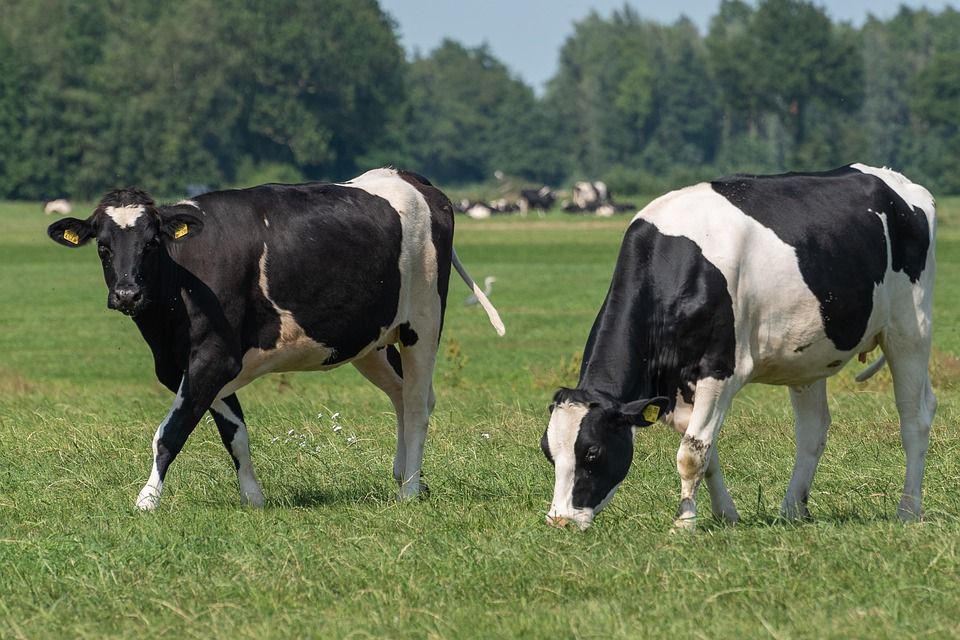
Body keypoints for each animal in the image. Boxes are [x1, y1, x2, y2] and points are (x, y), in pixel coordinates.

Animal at [47, 166, 506, 510]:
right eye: (103, 247)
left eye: (150, 244)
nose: (127, 294)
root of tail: (409, 177)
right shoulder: (194, 366)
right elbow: (235, 434)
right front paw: (253, 499)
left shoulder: (213, 357)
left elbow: (170, 432)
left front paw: (146, 501)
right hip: (370, 340)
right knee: (406, 395)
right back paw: (410, 477)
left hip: (423, 322)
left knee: (415, 404)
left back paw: (409, 489)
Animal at [540, 164, 936, 528]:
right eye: (548, 452)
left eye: (593, 452)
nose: (560, 520)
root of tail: (894, 179)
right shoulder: (681, 387)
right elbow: (705, 449)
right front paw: (725, 515)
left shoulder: (719, 369)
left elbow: (691, 453)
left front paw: (684, 524)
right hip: (809, 355)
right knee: (813, 429)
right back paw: (793, 509)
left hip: (910, 329)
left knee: (915, 417)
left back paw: (906, 511)